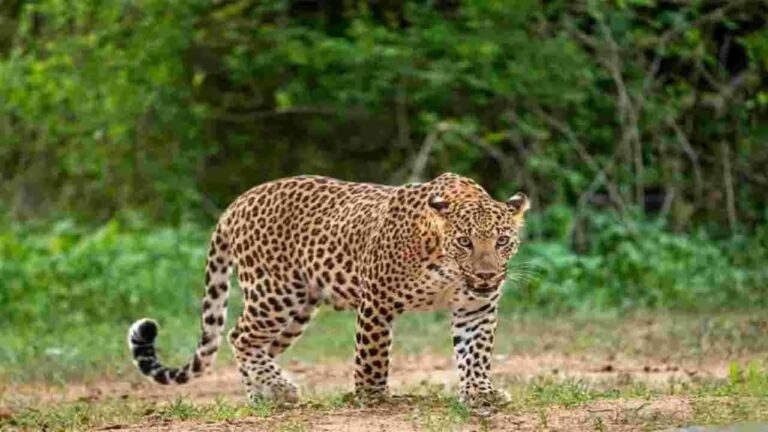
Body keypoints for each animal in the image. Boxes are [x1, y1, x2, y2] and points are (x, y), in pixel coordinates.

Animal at [127, 172, 530, 409]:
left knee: (255, 345)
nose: (487, 275)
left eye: (503, 240)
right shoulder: (377, 301)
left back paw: (263, 394)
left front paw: (480, 393)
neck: (446, 267)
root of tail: (237, 203)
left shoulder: (476, 308)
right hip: (275, 292)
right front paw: (373, 398)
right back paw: (279, 391)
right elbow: (372, 358)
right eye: (464, 242)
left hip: (299, 308)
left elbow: (475, 353)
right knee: (239, 335)